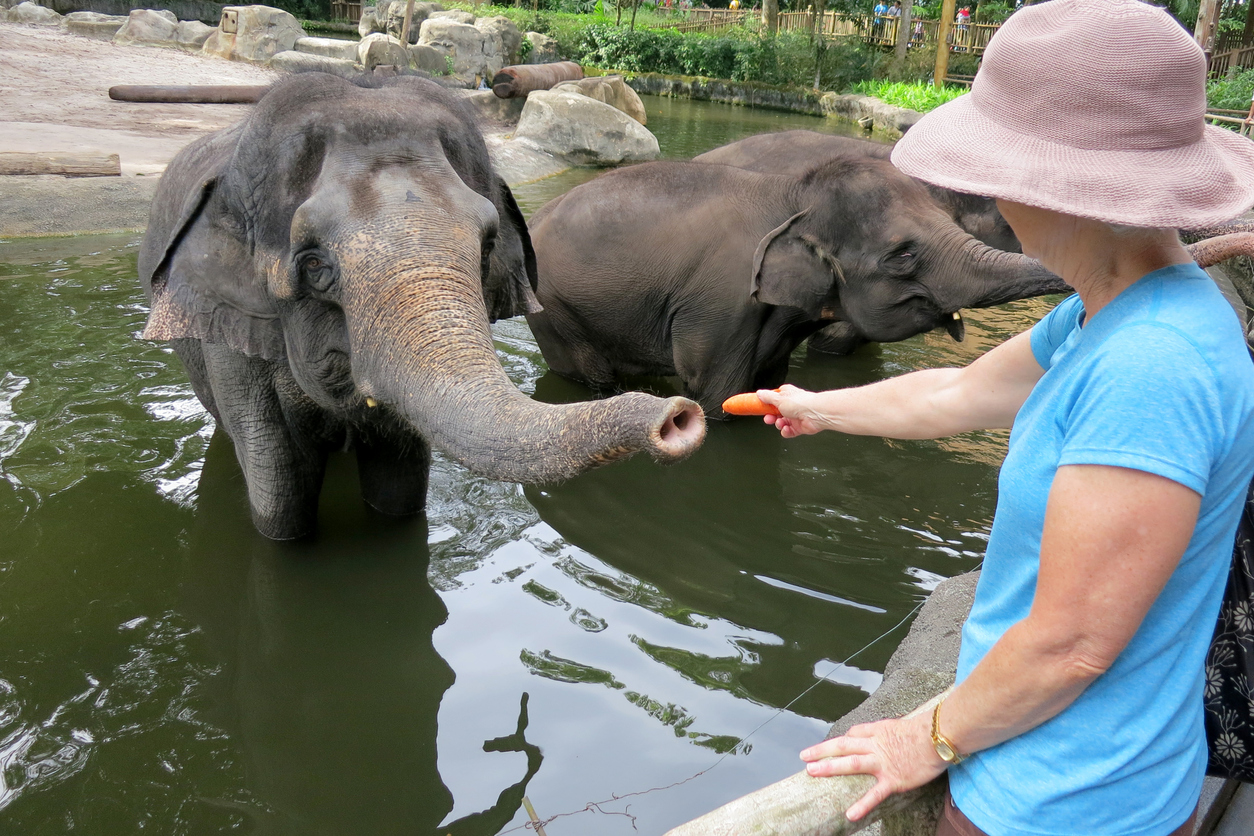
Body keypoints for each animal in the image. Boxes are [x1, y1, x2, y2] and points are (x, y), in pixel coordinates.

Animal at [138, 73, 705, 540]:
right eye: (314, 264)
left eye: (487, 245)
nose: (678, 417)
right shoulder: (231, 340)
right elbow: (281, 497)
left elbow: (399, 484)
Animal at [525, 157, 1069, 417]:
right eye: (902, 256)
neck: (794, 194)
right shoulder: (720, 308)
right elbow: (714, 396)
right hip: (555, 311)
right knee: (590, 377)